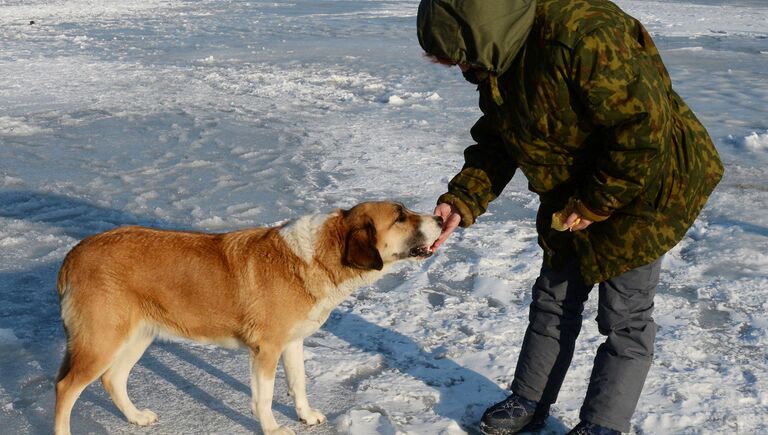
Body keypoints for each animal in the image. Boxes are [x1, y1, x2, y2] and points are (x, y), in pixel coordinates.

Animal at [54, 203, 444, 434]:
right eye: (400, 217)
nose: (441, 218)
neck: (316, 256)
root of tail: (74, 254)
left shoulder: (292, 343)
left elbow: (298, 383)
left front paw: (306, 415)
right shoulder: (266, 349)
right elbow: (264, 397)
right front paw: (273, 429)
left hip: (137, 336)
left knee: (113, 380)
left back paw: (136, 417)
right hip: (102, 340)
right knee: (66, 388)